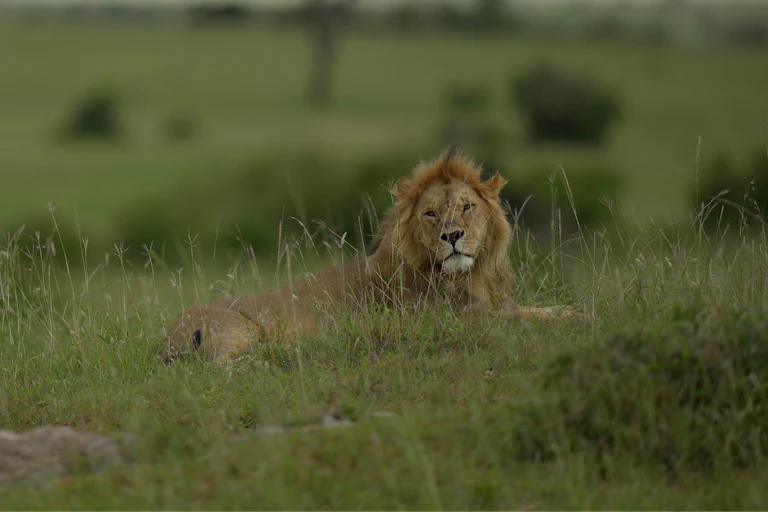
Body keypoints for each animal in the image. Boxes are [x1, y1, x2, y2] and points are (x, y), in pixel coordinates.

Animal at [160, 147, 576, 363]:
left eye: (467, 207)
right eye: (431, 213)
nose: (453, 235)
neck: (471, 275)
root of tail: (162, 338)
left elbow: (537, 308)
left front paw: (571, 309)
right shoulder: (464, 320)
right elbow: (527, 318)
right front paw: (575, 318)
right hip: (236, 330)